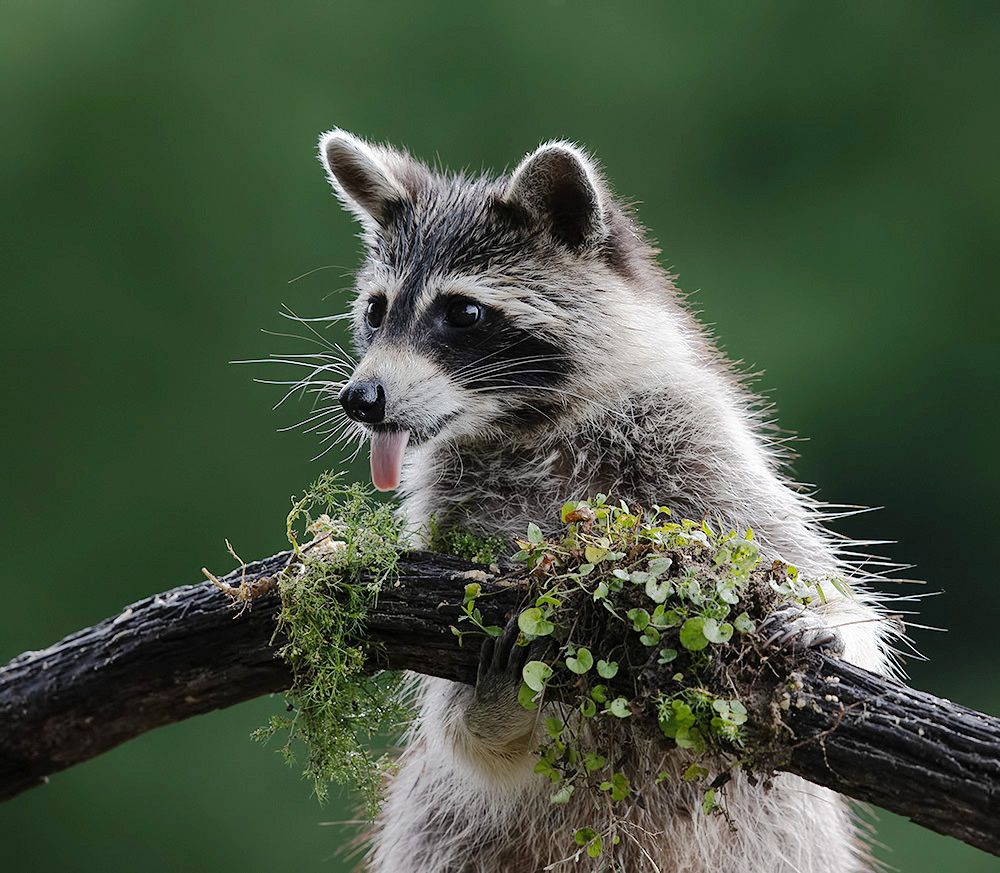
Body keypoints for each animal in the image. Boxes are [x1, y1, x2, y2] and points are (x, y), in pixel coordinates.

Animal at [314, 129, 898, 872]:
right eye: (376, 310)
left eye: (463, 312)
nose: (361, 399)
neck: (527, 424)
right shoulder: (449, 507)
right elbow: (466, 742)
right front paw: (486, 711)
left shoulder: (696, 443)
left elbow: (819, 577)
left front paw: (827, 623)